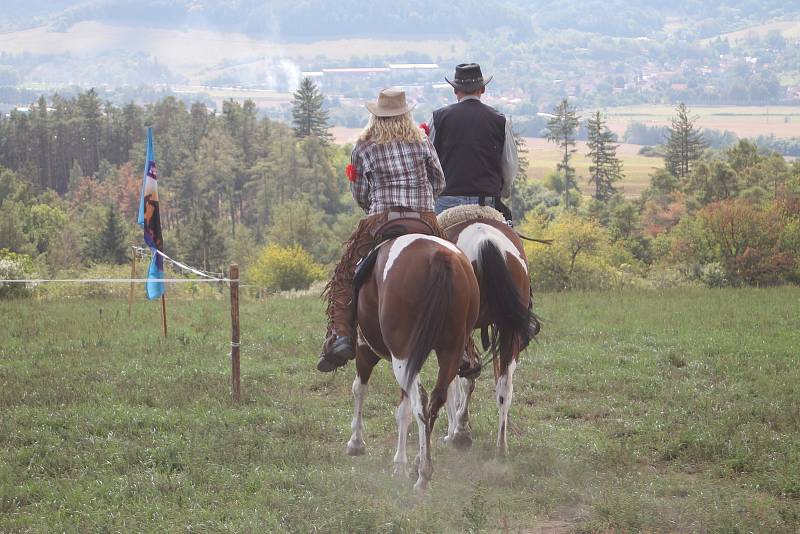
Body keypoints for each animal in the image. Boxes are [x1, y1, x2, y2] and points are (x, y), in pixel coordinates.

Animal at [342, 234, 476, 494]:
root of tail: (439, 257)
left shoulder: (366, 349)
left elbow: (359, 389)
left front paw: (356, 442)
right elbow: (402, 412)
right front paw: (400, 464)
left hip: (402, 357)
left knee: (421, 402)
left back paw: (423, 476)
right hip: (450, 352)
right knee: (435, 399)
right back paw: (422, 464)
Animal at [438, 208, 536, 456]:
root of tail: (485, 241)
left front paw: (452, 430)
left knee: (469, 375)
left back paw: (460, 432)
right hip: (510, 331)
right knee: (504, 386)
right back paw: (501, 448)